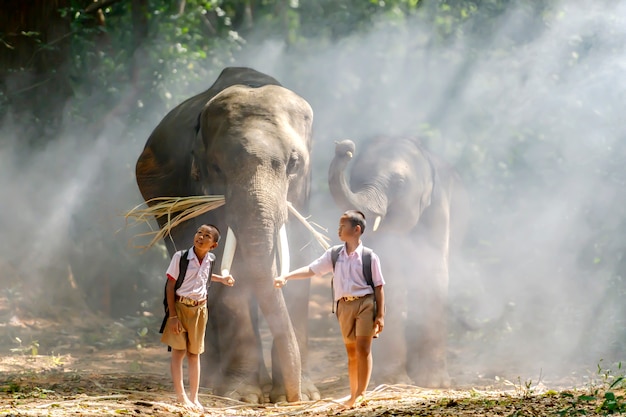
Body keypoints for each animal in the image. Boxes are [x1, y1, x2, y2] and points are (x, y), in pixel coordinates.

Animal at [138, 66, 322, 402]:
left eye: (294, 164)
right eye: (215, 167)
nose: (294, 397)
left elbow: (298, 264)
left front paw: (304, 395)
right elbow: (227, 276)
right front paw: (243, 396)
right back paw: (211, 380)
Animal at [330, 136, 466, 386]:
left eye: (400, 183)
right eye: (355, 179)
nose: (345, 148)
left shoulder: (438, 207)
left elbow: (431, 270)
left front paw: (433, 383)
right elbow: (385, 274)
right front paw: (393, 381)